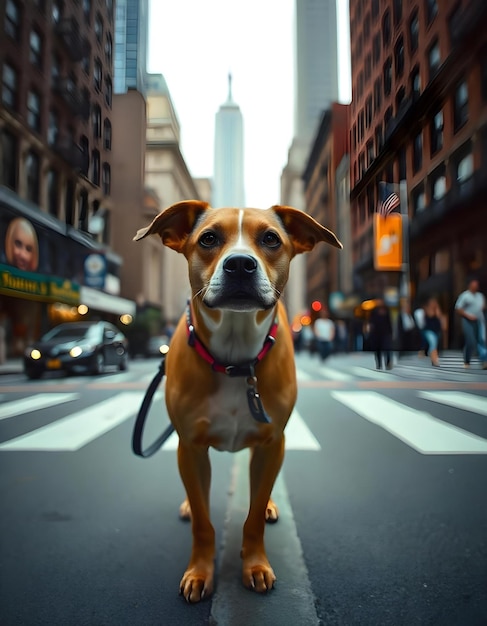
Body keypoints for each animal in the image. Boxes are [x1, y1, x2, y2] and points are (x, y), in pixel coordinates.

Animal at [132, 200, 342, 600]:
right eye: (208, 238)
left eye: (271, 239)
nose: (241, 264)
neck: (234, 357)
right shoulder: (190, 447)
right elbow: (203, 521)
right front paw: (200, 571)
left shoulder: (272, 443)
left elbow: (253, 515)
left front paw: (255, 563)